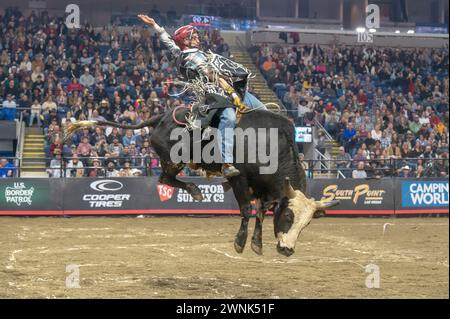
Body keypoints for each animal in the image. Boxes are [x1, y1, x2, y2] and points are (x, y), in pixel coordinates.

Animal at [67, 105, 338, 258]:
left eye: (306, 225)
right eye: (289, 217)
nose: (287, 250)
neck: (268, 144)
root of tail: (160, 118)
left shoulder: (264, 188)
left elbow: (261, 213)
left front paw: (257, 244)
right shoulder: (239, 178)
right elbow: (246, 209)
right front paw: (240, 242)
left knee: (166, 178)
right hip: (172, 158)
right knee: (165, 177)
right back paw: (195, 190)